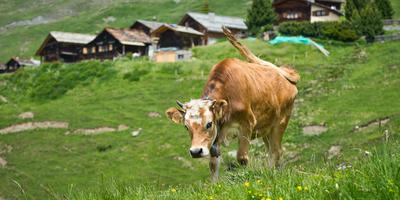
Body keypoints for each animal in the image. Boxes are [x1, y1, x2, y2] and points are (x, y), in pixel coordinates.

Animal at [164, 26, 298, 181]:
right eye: (186, 127)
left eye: (208, 124)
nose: (196, 151)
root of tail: (281, 73)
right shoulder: (216, 136)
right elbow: (213, 164)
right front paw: (214, 184)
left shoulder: (247, 125)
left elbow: (242, 158)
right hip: (266, 129)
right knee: (274, 151)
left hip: (280, 123)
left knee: (275, 151)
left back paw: (270, 173)